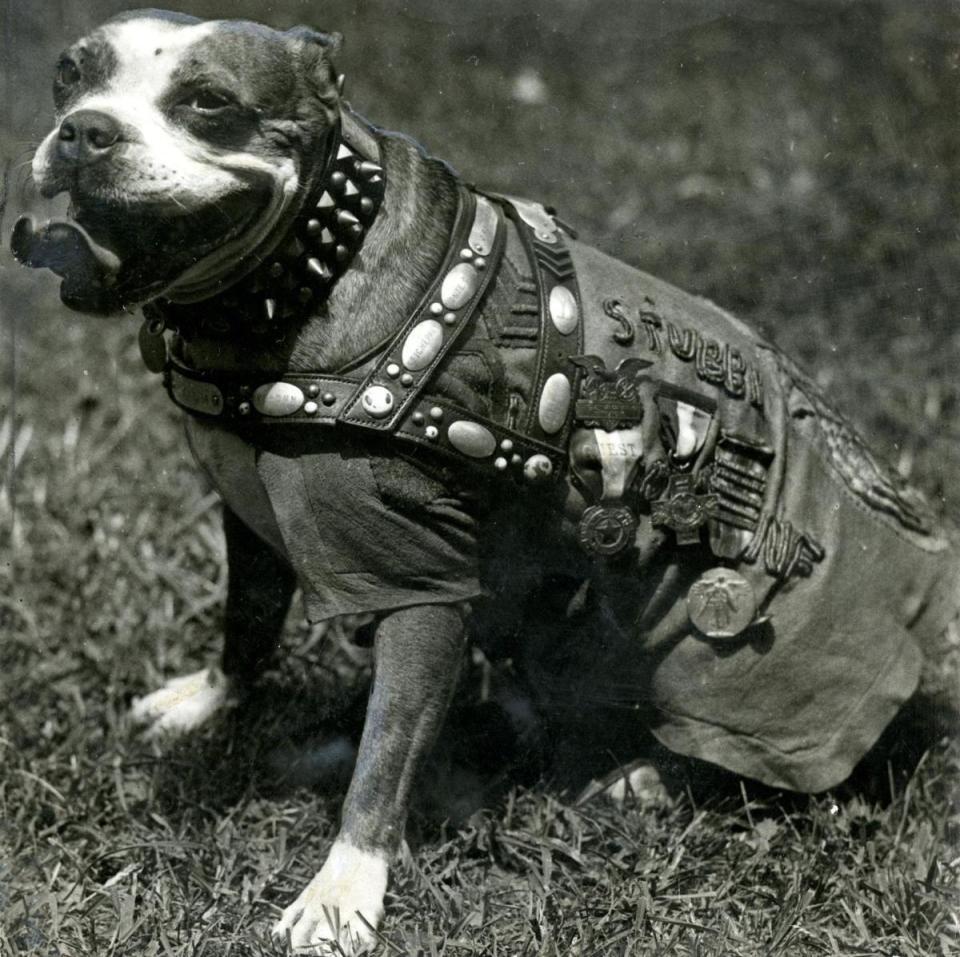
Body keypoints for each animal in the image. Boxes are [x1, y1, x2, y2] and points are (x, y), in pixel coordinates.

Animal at [16, 9, 960, 956]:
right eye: (70, 74)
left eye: (209, 102)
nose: (86, 131)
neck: (311, 265)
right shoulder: (248, 520)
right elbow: (246, 626)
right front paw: (206, 703)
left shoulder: (419, 589)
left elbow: (386, 753)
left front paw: (342, 891)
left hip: (720, 651)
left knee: (720, 754)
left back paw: (637, 778)